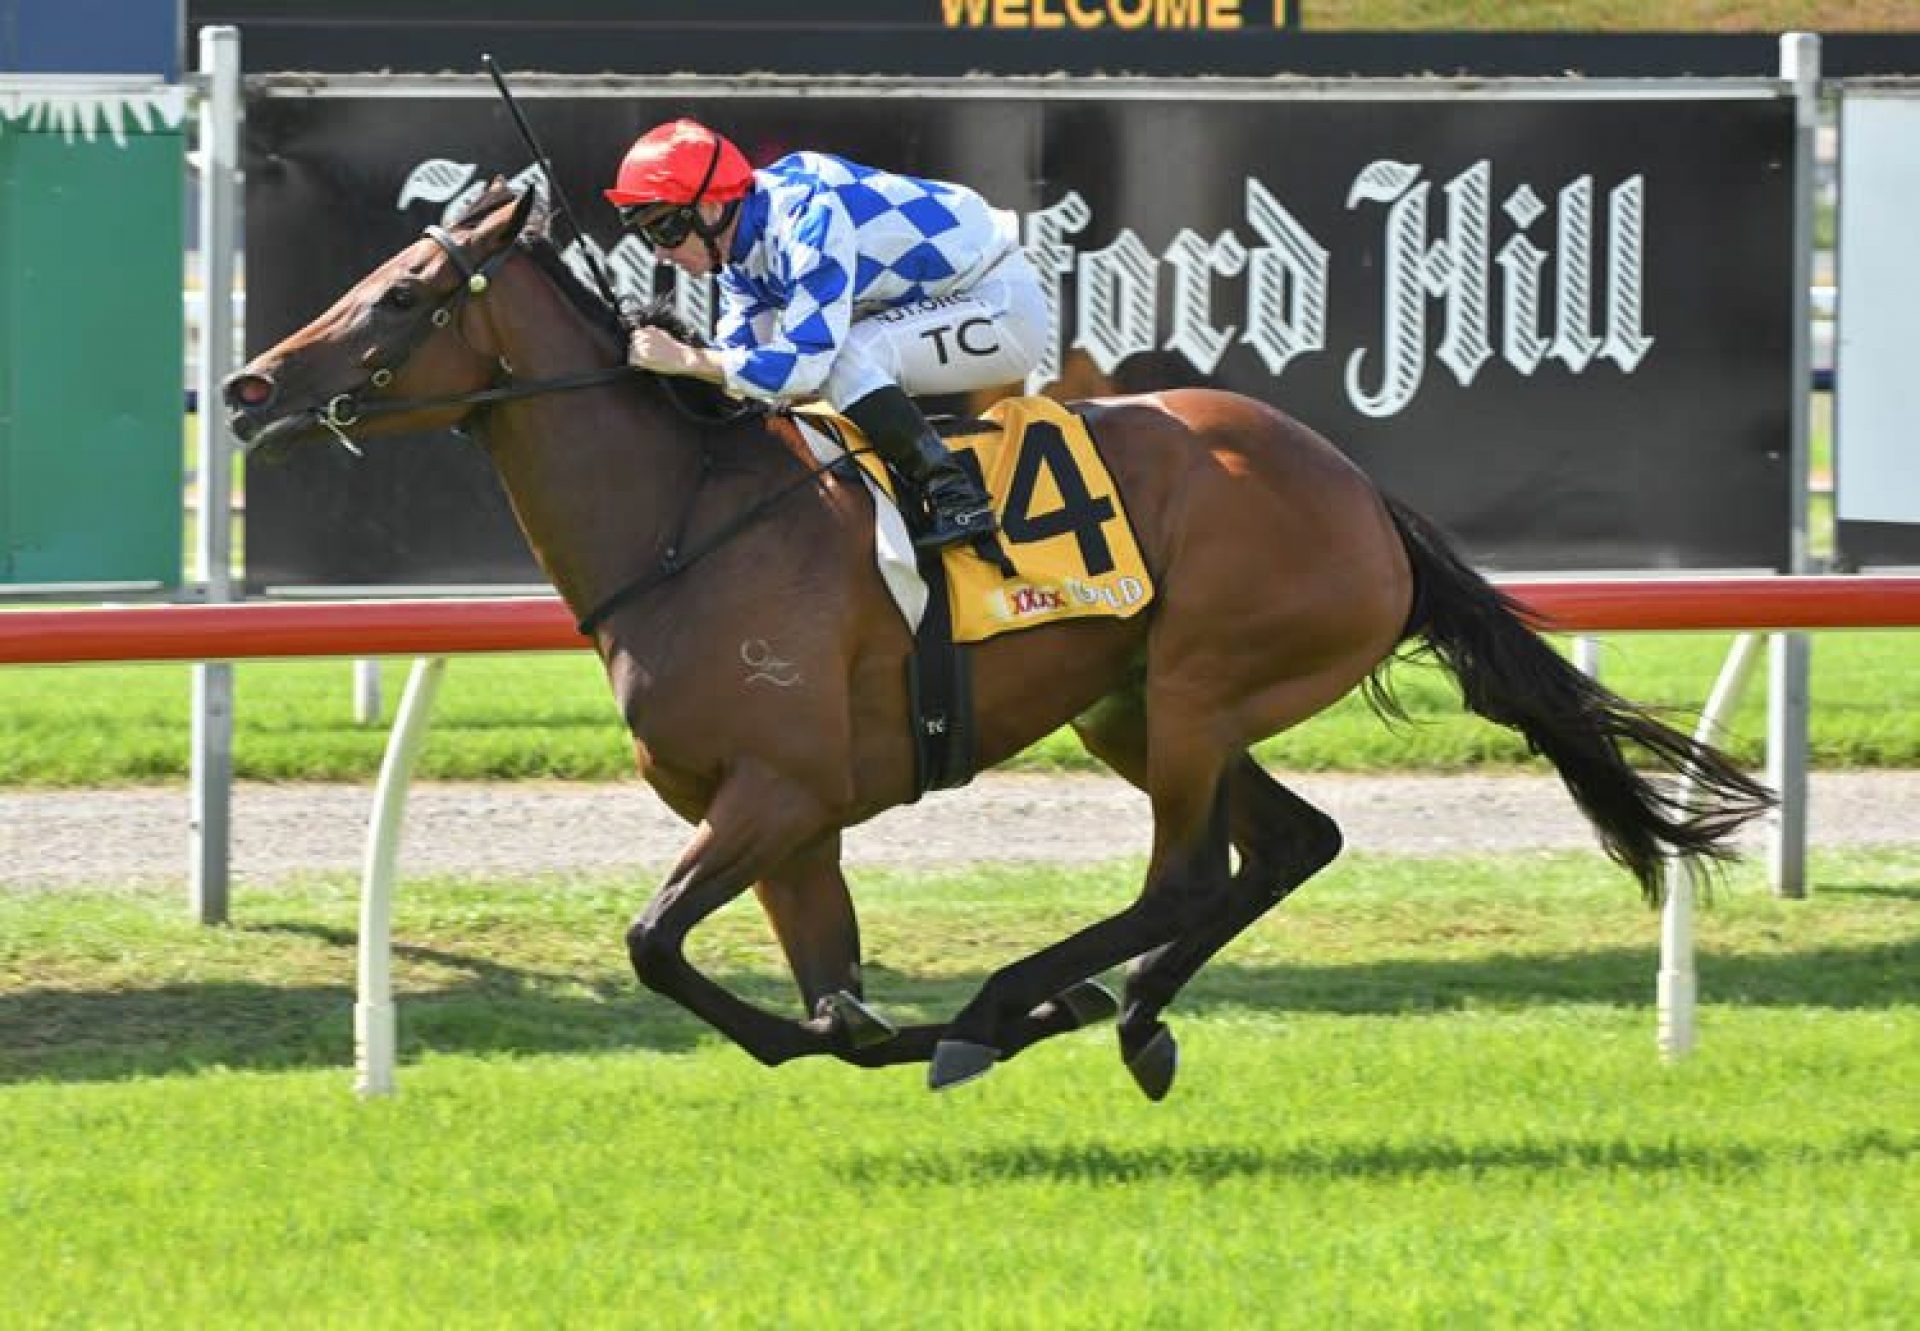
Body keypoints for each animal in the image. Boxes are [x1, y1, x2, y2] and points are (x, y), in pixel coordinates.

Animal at [220, 187, 1766, 1098]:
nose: (247, 385)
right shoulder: (790, 823)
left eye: (404, 293)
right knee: (1290, 843)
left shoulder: (775, 791)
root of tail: (1356, 487)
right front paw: (893, 1029)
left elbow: (660, 944)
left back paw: (1025, 998)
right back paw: (1130, 1017)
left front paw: (970, 1020)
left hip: (1199, 680)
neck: (691, 516)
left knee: (1188, 871)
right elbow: (820, 998)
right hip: (1132, 705)